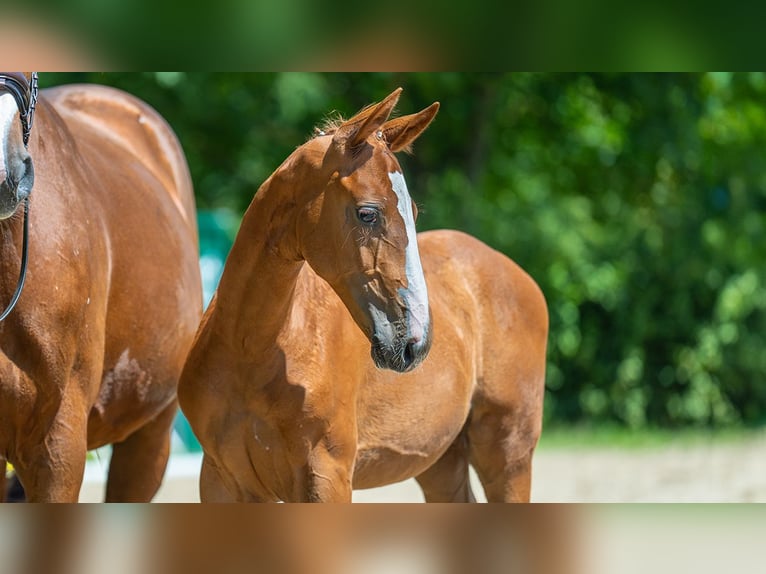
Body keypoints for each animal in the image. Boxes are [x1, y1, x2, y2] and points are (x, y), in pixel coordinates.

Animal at [181, 86, 548, 504]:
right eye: (368, 213)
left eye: (413, 214)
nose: (415, 343)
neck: (253, 353)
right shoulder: (221, 481)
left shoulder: (328, 477)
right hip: (439, 458)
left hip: (508, 449)